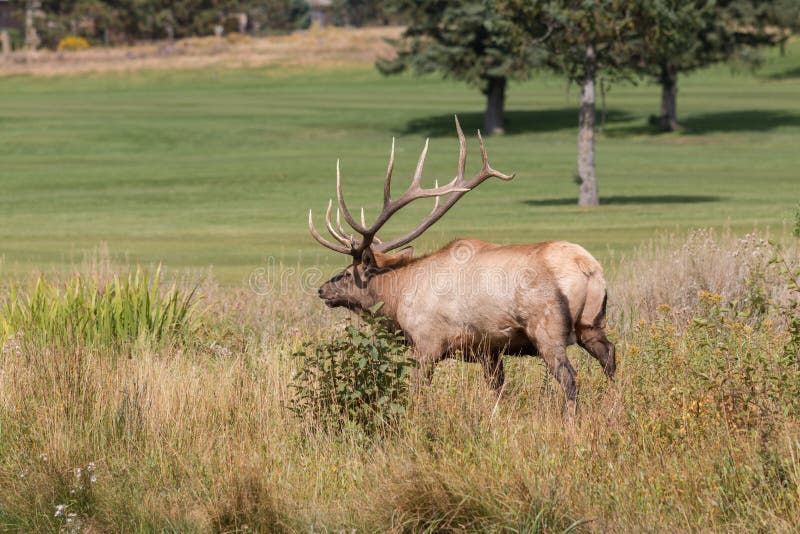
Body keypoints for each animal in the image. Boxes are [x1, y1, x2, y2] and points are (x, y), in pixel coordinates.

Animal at [308, 117, 615, 417]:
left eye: (348, 273)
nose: (323, 290)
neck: (398, 299)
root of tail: (587, 267)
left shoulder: (427, 342)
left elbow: (417, 392)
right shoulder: (489, 350)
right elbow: (497, 391)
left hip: (546, 328)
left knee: (569, 378)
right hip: (591, 322)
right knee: (610, 357)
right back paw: (613, 407)